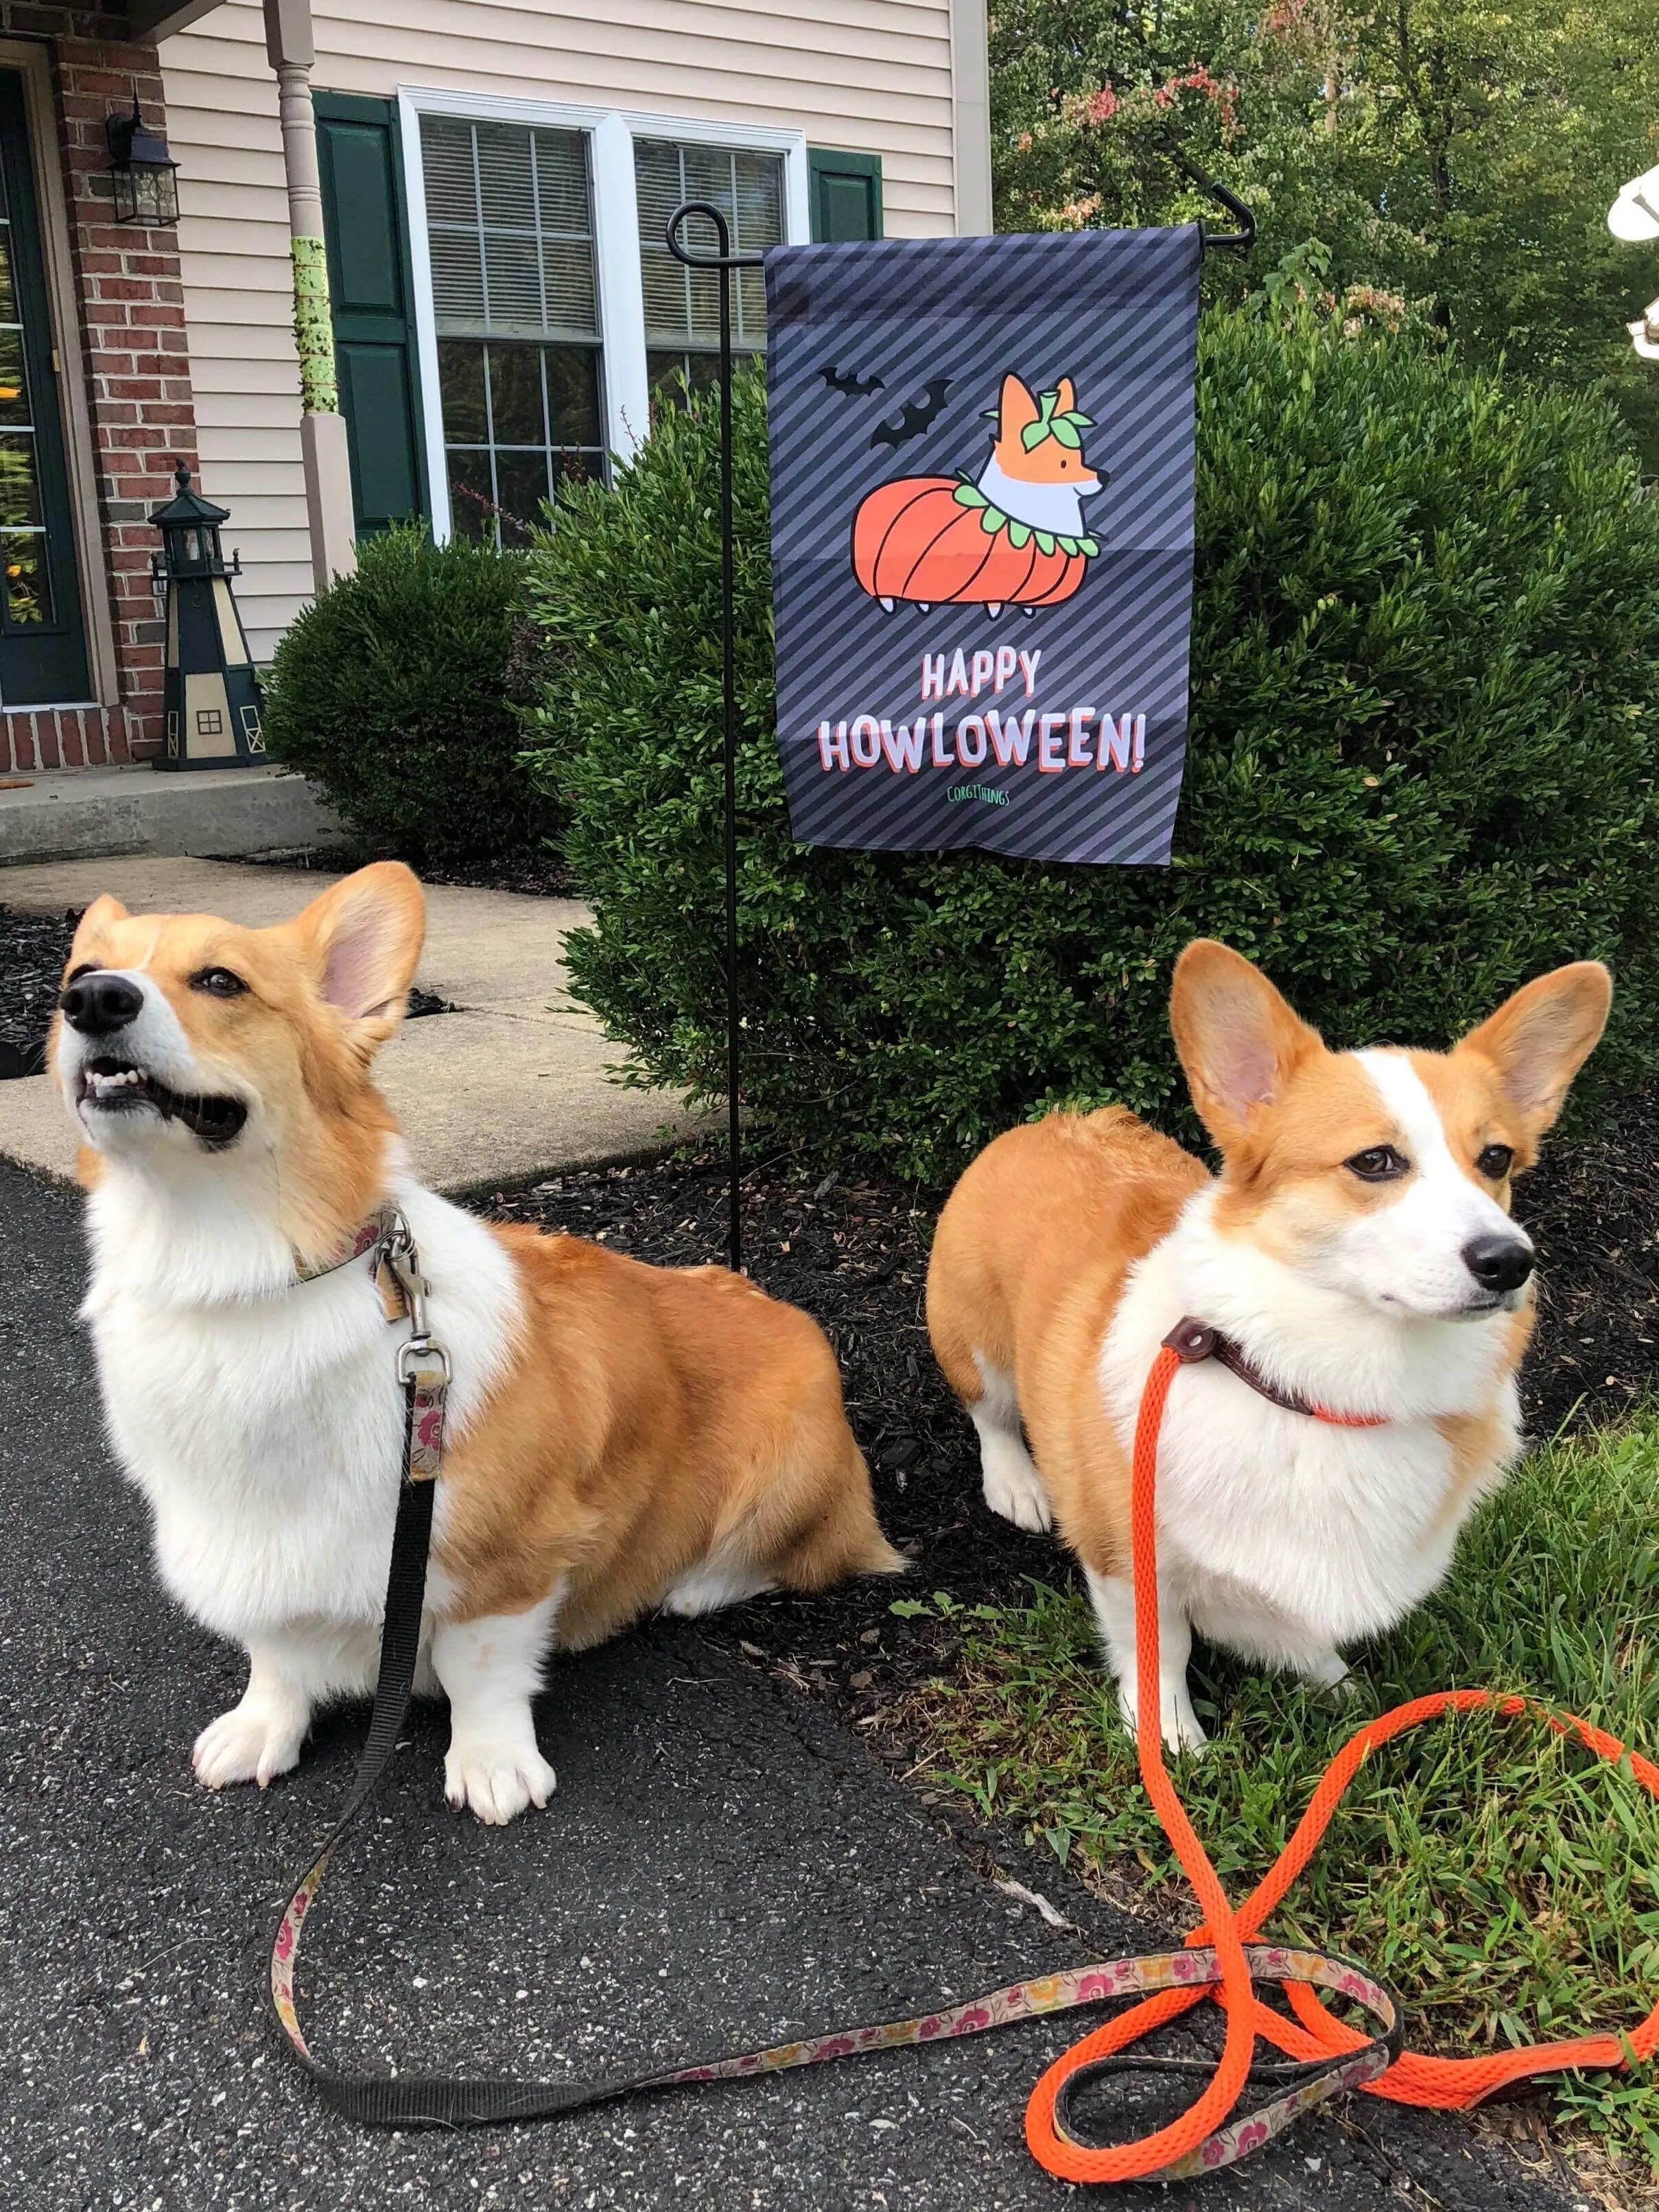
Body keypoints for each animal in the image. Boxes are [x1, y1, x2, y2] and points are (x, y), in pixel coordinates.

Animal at [55, 867, 897, 1831]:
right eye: (79, 972)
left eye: (221, 980)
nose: (94, 1000)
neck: (229, 1271)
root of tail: (775, 1298)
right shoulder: (251, 1542)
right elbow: (276, 1652)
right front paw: (262, 1726)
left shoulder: (506, 1555)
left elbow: (479, 1668)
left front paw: (494, 1764)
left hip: (789, 1471)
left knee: (804, 1555)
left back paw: (693, 1583)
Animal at [924, 942, 1610, 1752]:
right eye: (1375, 1161)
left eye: (1497, 1158)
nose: (1509, 1261)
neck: (1320, 1390)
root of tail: (1050, 1120)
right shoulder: (1126, 1556)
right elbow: (1161, 1649)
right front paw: (1172, 1738)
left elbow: (1303, 1637)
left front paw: (1343, 1694)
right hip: (975, 1342)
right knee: (991, 1414)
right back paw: (1018, 1485)